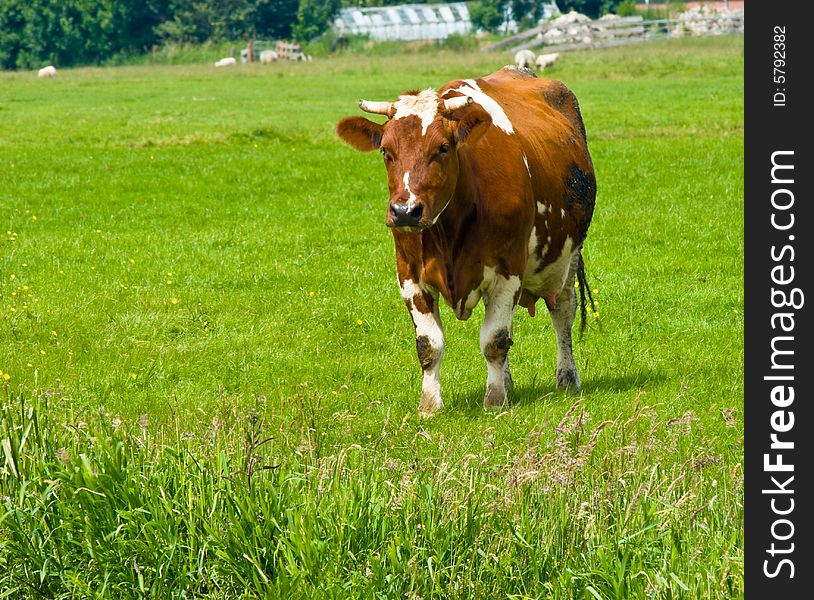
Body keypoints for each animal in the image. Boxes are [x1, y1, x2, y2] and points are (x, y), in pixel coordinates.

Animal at [334, 64, 596, 412]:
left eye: (443, 148)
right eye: (385, 151)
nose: (405, 211)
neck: (448, 231)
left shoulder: (509, 269)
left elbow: (495, 340)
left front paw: (494, 400)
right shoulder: (409, 274)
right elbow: (429, 344)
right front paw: (430, 406)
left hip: (567, 257)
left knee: (563, 313)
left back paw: (566, 378)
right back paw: (509, 382)